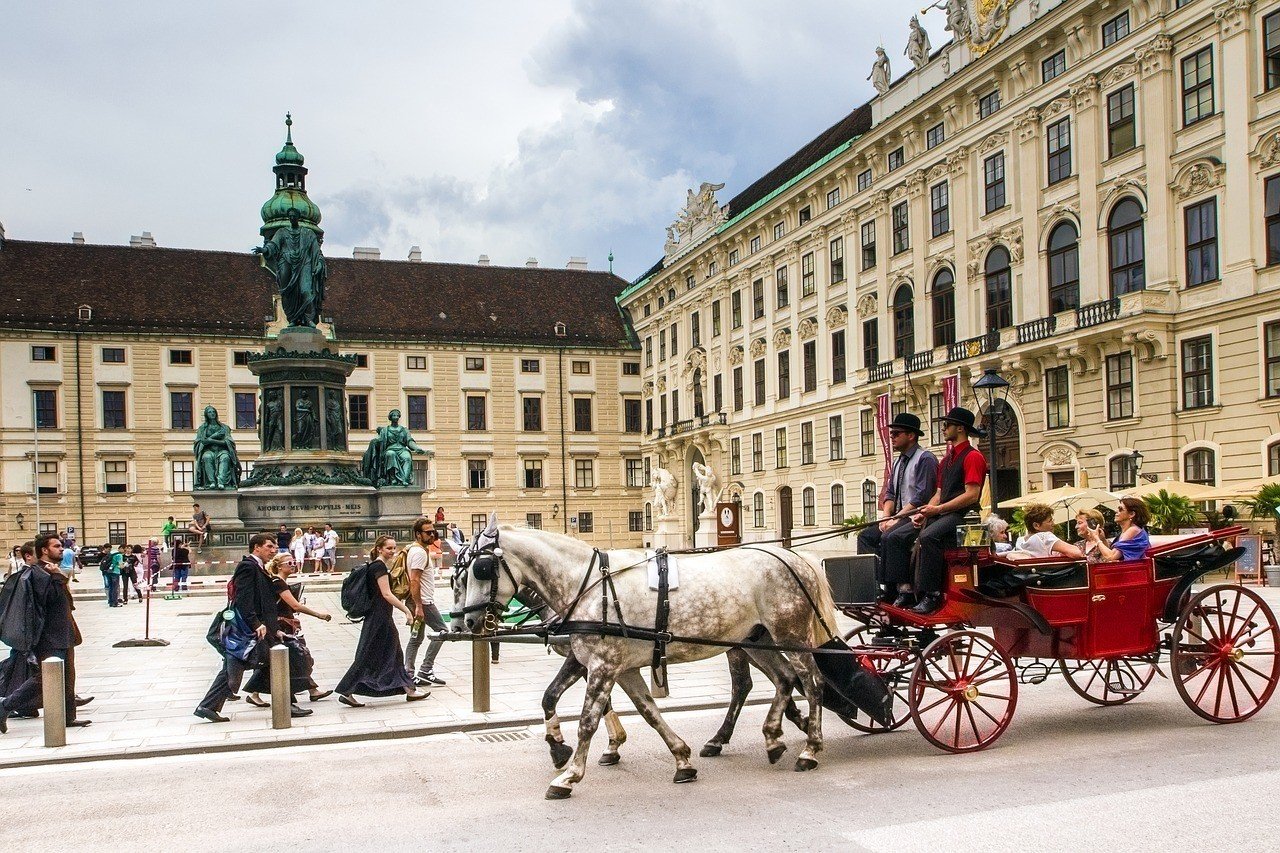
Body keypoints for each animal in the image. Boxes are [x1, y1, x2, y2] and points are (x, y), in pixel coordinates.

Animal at [460, 517, 839, 799]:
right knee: (783, 679)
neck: (587, 585)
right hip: (756, 639)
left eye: (481, 569)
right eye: (460, 576)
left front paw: (569, 776)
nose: (467, 622)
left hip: (790, 636)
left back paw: (810, 747)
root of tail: (794, 557)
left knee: (811, 682)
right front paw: (681, 759)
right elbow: (643, 710)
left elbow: (587, 721)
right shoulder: (611, 665)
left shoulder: (603, 665)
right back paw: (772, 737)